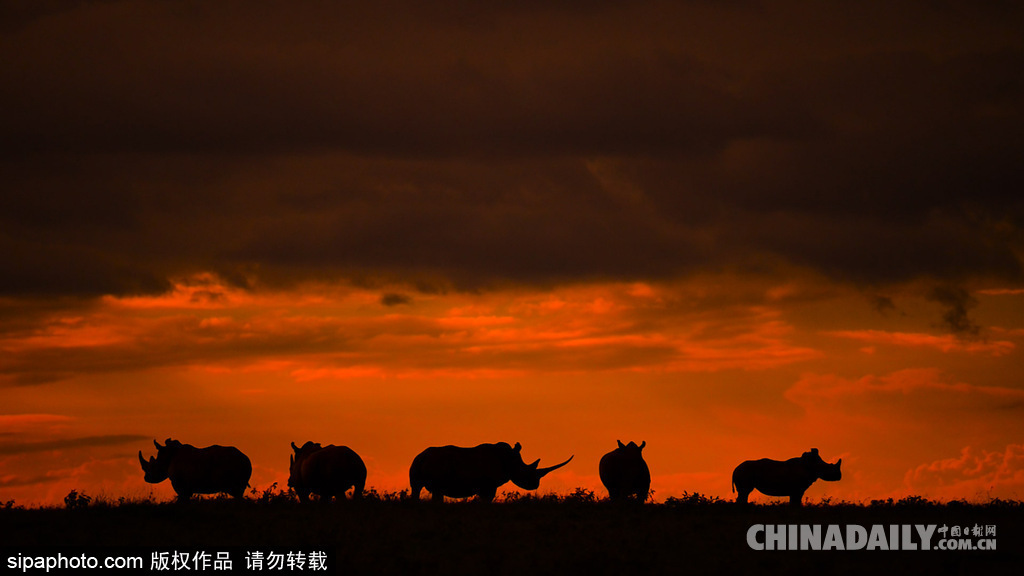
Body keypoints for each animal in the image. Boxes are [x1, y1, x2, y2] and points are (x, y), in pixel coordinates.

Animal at [407, 440, 573, 500]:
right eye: (526, 472)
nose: (535, 485)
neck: (510, 459)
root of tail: (422, 456)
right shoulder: (489, 485)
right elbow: (487, 499)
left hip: (416, 464)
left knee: (417, 488)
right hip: (436, 466)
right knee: (436, 490)